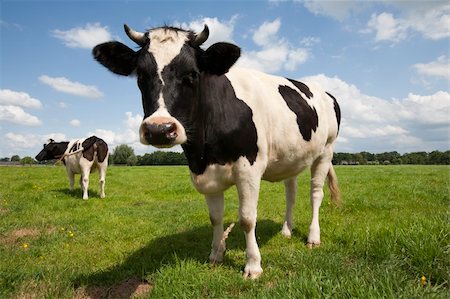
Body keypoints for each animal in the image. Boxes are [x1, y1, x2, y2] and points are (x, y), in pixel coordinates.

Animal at [92, 24, 342, 280]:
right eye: (141, 75)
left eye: (192, 74)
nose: (159, 129)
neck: (203, 153)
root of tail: (325, 92)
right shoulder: (205, 174)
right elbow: (215, 217)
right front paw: (216, 254)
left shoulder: (249, 169)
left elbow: (247, 219)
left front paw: (253, 265)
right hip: (291, 158)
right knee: (291, 193)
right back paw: (286, 230)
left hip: (326, 151)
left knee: (316, 193)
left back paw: (313, 237)